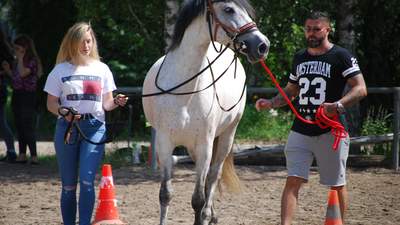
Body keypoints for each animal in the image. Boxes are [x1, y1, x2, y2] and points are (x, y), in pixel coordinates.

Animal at [142, 0, 270, 224]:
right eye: (228, 9)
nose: (263, 45)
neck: (183, 91)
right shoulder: (165, 145)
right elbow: (165, 194)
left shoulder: (205, 146)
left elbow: (198, 199)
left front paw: (203, 215)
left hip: (226, 137)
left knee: (213, 175)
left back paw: (209, 214)